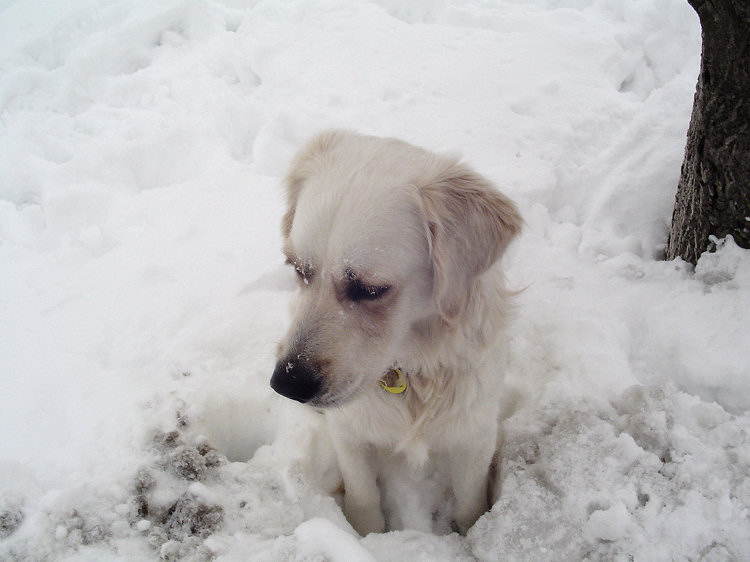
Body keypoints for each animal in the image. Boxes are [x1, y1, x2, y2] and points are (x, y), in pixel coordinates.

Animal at [270, 128, 524, 532]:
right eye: (298, 268)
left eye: (370, 289)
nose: (287, 383)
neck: (415, 376)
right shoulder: (349, 432)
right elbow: (362, 494)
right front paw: (366, 534)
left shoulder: (476, 434)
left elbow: (470, 501)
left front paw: (474, 530)